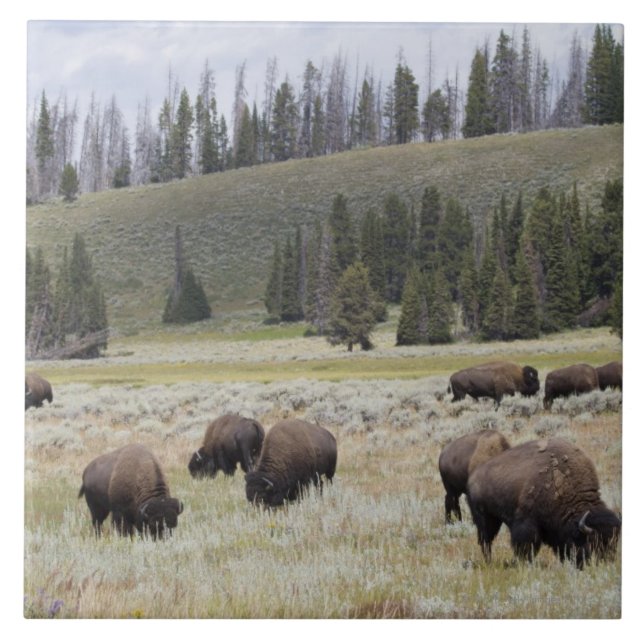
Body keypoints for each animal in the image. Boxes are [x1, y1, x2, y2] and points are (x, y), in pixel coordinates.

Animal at [466, 437, 621, 568]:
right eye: (593, 542)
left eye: (615, 543)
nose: (606, 564)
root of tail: (473, 477)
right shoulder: (526, 524)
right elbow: (526, 546)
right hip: (485, 518)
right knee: (486, 541)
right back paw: (489, 562)